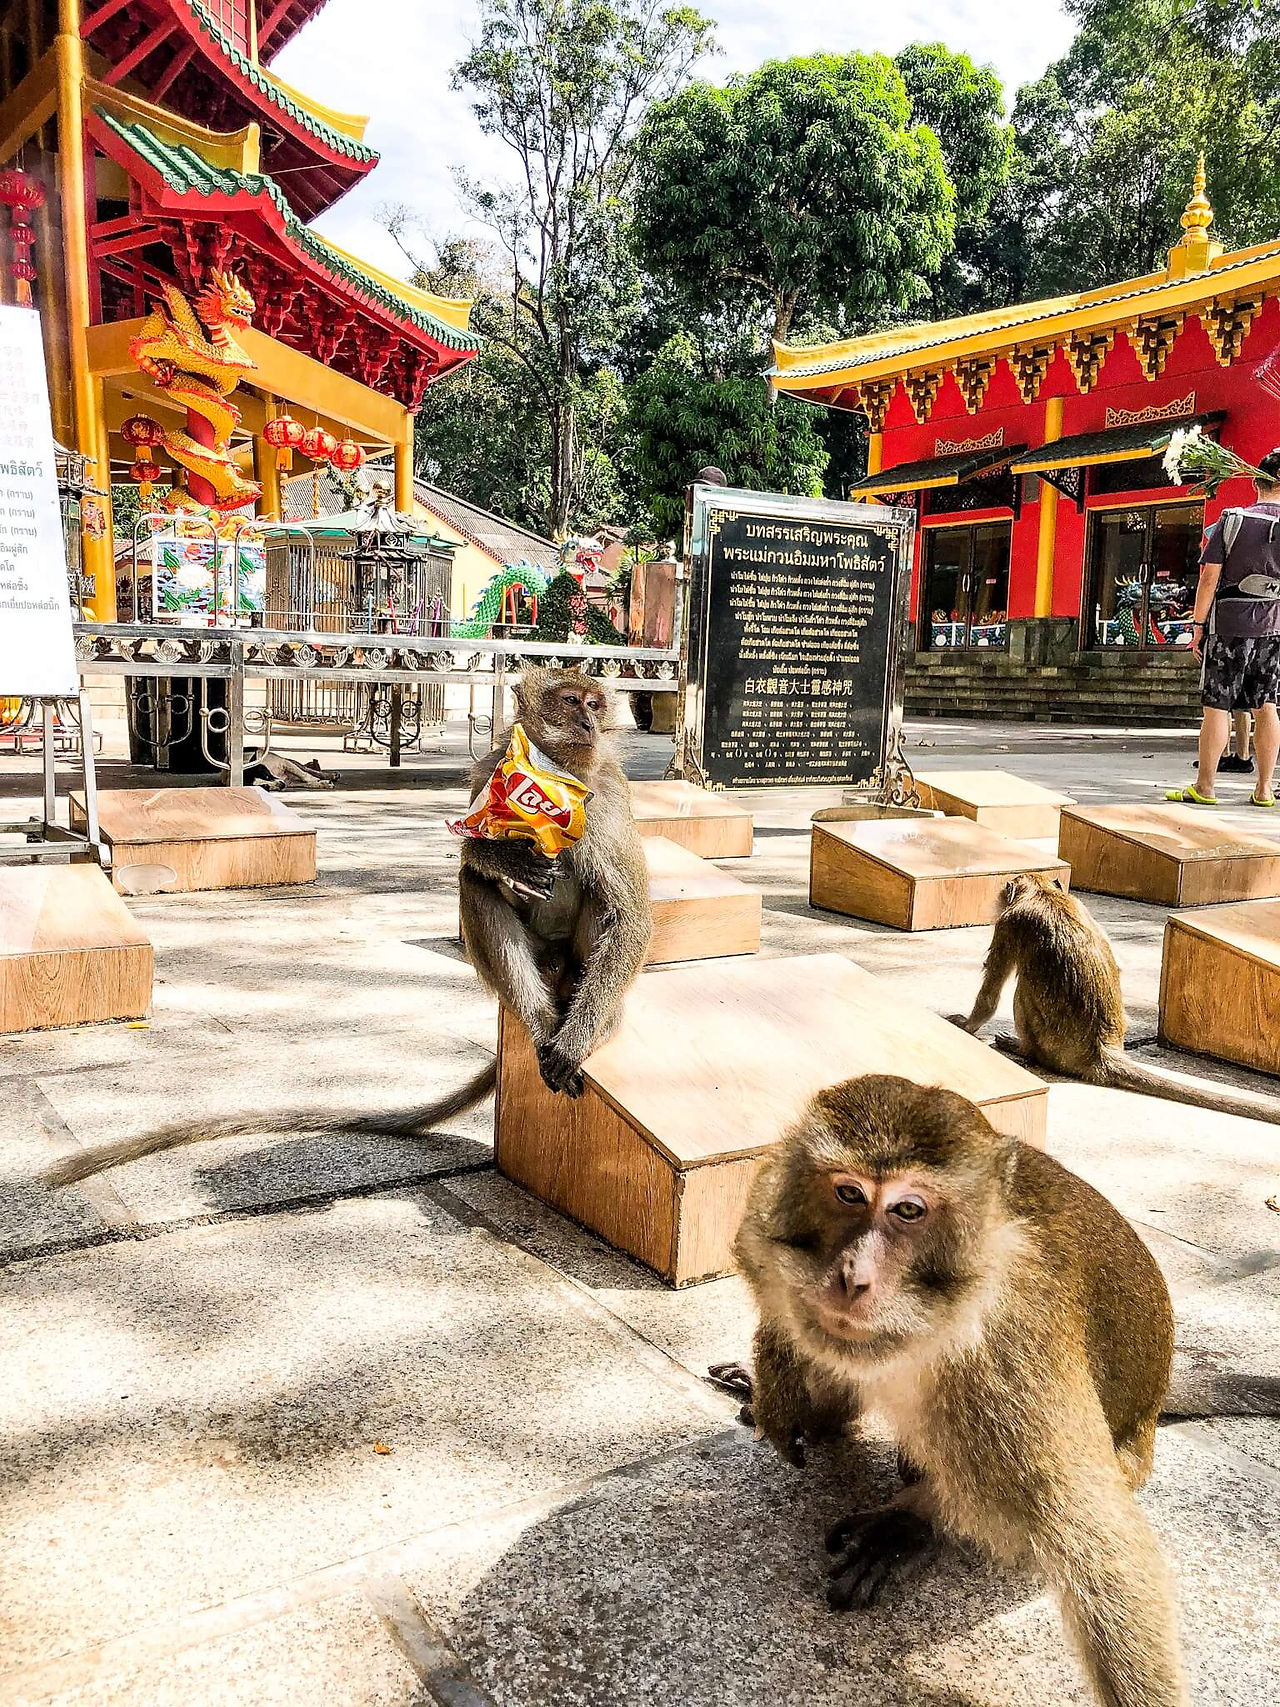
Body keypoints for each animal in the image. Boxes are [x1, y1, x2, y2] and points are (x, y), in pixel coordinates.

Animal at [42, 668, 652, 1190]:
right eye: (571, 701)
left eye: (595, 703)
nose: (591, 723)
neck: (555, 774)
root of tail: (556, 973)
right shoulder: (494, 768)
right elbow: (473, 853)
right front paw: (503, 855)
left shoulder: (606, 798)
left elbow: (630, 914)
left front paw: (577, 1041)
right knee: (475, 887)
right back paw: (540, 1018)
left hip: (579, 960)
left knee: (602, 903)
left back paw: (579, 1024)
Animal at [726, 1073, 1188, 1707]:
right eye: (848, 1194)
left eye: (908, 1209)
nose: (852, 1277)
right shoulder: (765, 1224)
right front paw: (776, 1391)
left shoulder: (1011, 1355)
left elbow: (1095, 1536)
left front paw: (907, 1524)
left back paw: (909, 1523)